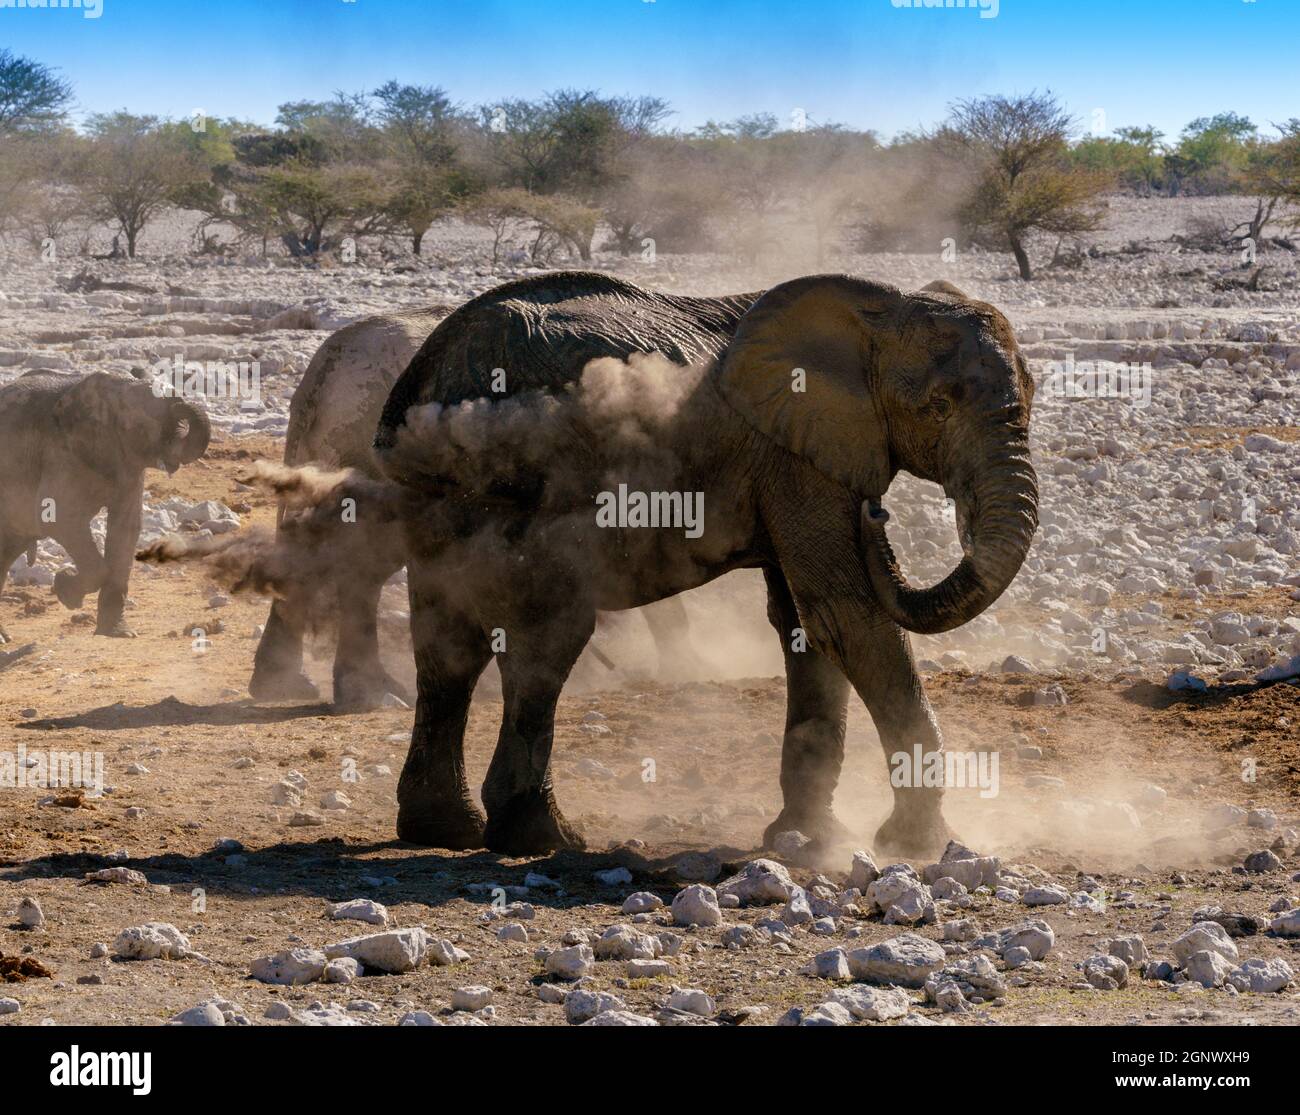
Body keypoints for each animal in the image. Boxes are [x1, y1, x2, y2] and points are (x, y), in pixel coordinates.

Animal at [0, 371, 210, 639]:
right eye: (146, 423)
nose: (179, 400)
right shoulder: (60, 453)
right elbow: (59, 519)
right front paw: (66, 589)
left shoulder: (127, 463)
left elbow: (126, 528)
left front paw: (119, 632)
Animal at [371, 267, 1040, 852]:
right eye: (938, 406)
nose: (876, 515)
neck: (883, 307)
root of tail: (422, 385)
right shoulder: (797, 456)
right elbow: (845, 617)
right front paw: (921, 845)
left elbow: (804, 625)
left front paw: (807, 840)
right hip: (528, 494)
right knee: (545, 642)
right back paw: (543, 840)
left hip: (441, 505)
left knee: (447, 649)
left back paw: (442, 832)